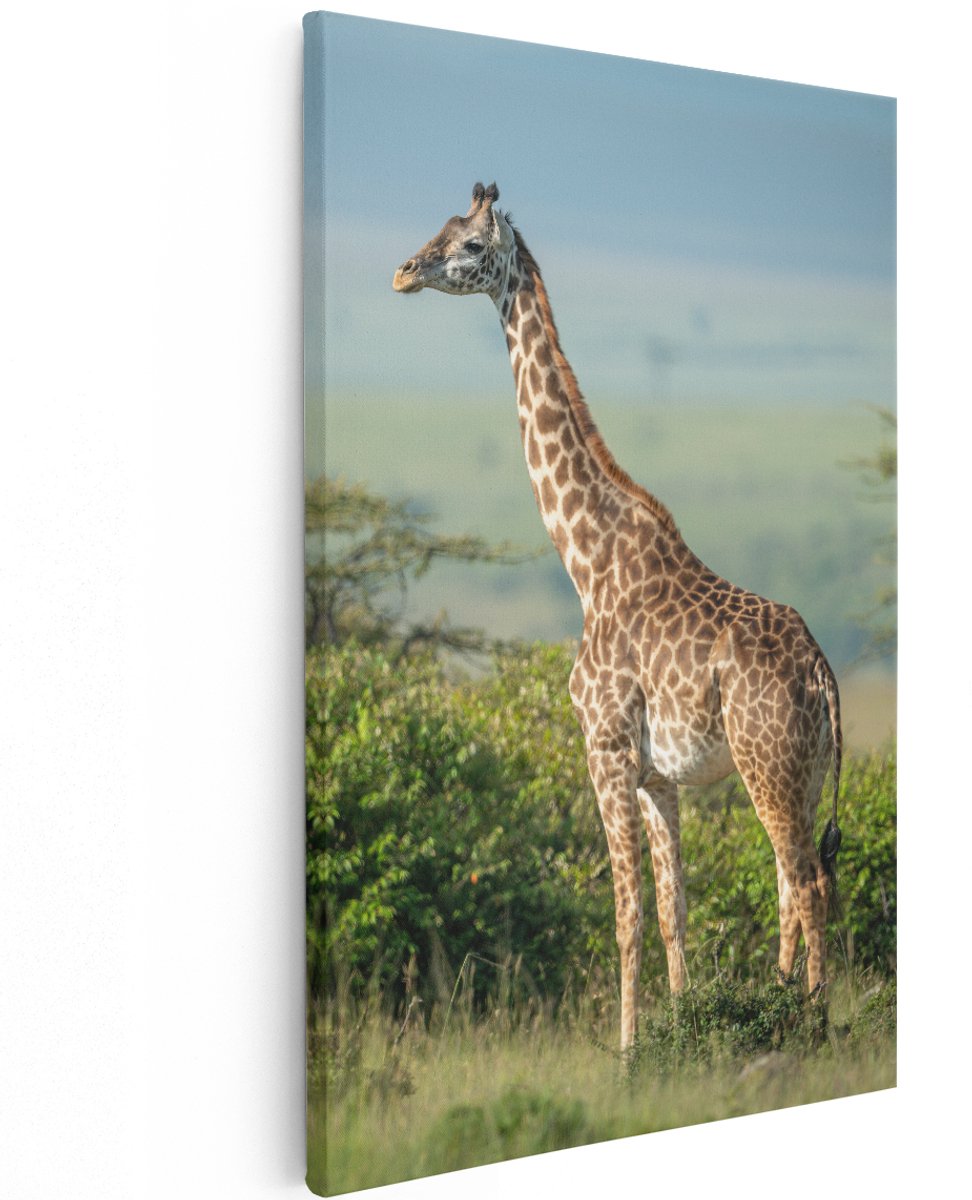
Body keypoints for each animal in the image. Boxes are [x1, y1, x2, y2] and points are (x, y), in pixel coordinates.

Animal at [393, 182, 842, 1058]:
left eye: (468, 246)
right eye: (438, 228)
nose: (402, 271)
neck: (586, 562)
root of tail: (822, 671)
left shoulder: (602, 750)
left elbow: (625, 915)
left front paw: (629, 1054)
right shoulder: (656, 776)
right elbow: (672, 915)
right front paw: (681, 1032)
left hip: (766, 763)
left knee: (806, 883)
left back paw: (812, 1024)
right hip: (799, 772)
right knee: (792, 883)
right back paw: (782, 1008)